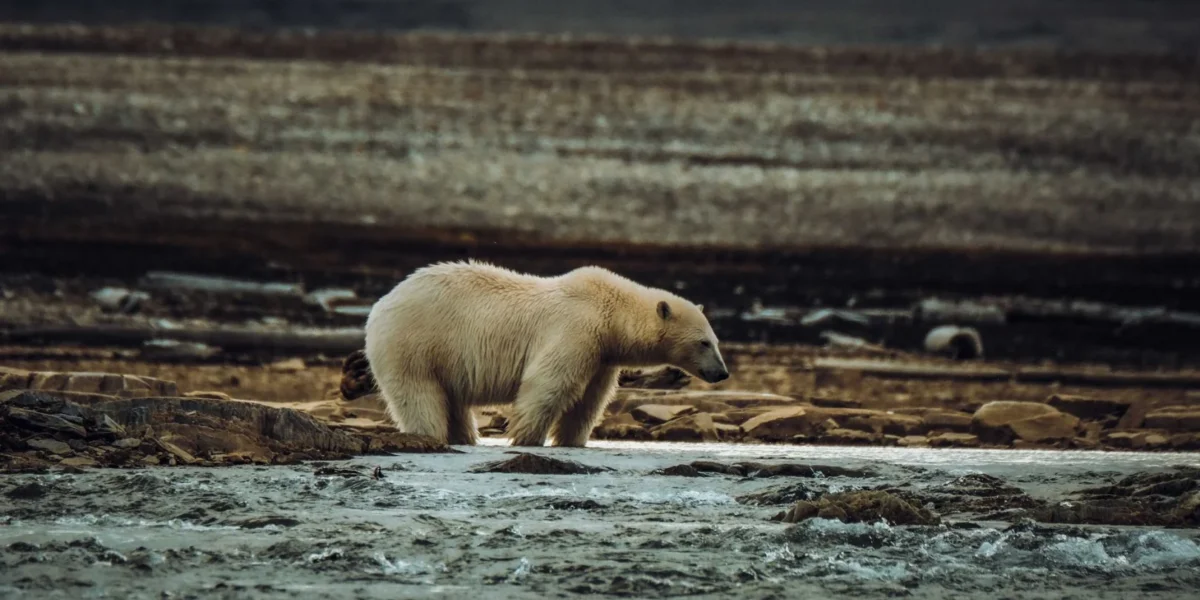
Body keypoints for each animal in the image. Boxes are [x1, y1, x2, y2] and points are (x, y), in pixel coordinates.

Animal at [363, 260, 729, 447]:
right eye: (704, 343)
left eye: (715, 341)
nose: (722, 372)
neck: (611, 312)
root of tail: (381, 304)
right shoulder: (576, 330)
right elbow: (549, 385)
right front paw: (526, 438)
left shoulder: (602, 355)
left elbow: (589, 400)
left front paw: (571, 441)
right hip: (415, 343)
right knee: (419, 394)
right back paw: (431, 436)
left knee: (452, 402)